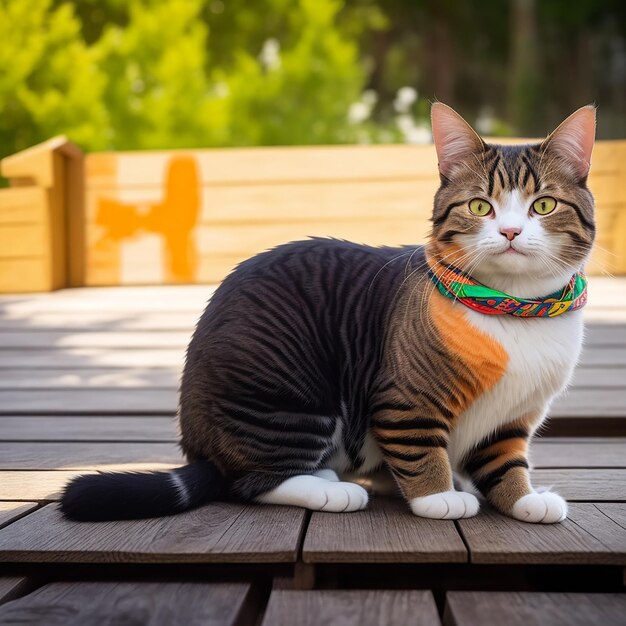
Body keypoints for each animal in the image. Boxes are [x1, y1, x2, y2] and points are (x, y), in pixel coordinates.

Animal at [62, 102, 596, 520]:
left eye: (543, 205)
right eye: (481, 207)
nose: (510, 232)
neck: (514, 308)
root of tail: (197, 445)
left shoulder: (512, 419)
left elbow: (505, 462)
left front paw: (524, 499)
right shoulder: (404, 399)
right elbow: (421, 450)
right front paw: (438, 496)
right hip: (292, 393)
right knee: (249, 481)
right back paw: (329, 489)